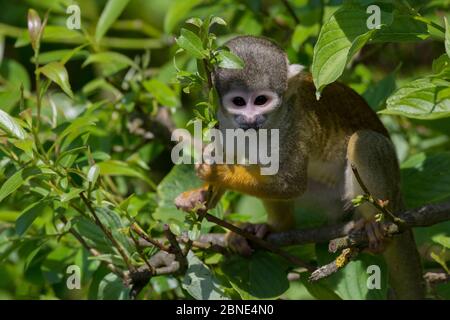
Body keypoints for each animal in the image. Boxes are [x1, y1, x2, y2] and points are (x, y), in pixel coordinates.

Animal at [174, 36, 424, 298]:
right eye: (239, 102)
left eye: (261, 100)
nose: (251, 119)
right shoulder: (219, 120)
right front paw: (199, 196)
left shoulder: (294, 127)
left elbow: (290, 184)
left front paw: (217, 171)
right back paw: (274, 227)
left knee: (364, 142)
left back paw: (377, 227)